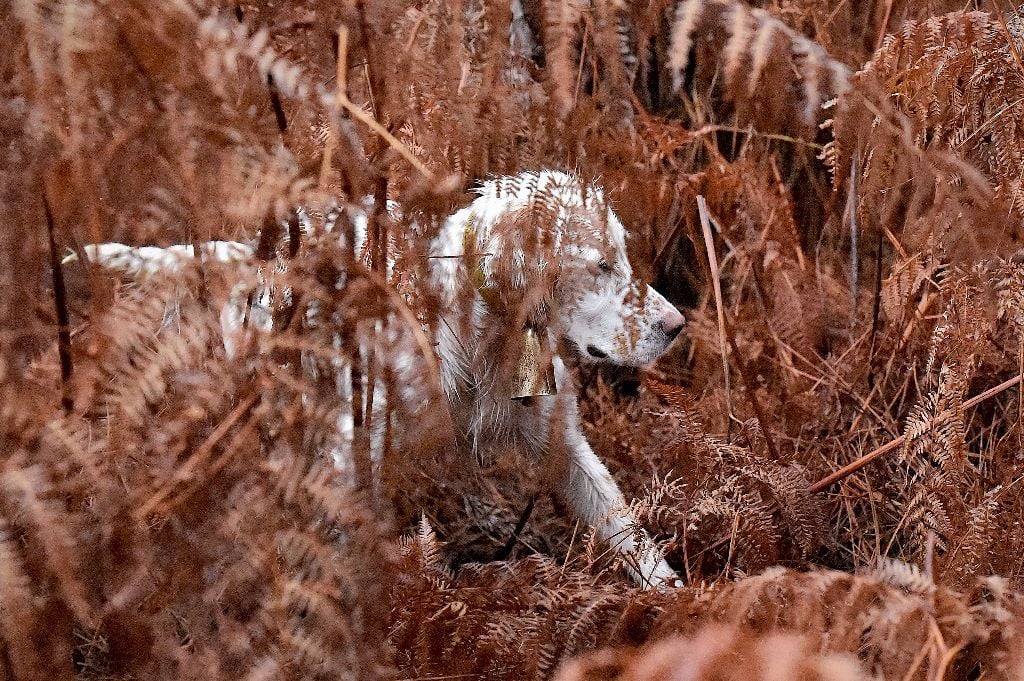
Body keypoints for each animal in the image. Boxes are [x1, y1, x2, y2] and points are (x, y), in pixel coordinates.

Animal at [79, 171, 684, 589]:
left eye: (622, 256)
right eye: (602, 265)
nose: (677, 326)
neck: (475, 333)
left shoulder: (563, 443)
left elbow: (627, 529)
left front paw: (674, 599)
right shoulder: (354, 457)